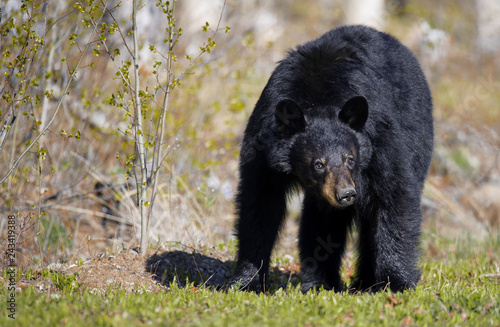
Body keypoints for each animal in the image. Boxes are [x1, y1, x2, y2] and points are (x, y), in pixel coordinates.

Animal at [230, 24, 434, 294]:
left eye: (350, 159)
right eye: (318, 164)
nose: (347, 194)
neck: (316, 101)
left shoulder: (379, 138)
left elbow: (394, 195)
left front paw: (395, 283)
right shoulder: (262, 147)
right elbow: (259, 203)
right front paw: (247, 281)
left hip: (418, 137)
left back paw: (364, 282)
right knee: (320, 219)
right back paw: (321, 282)